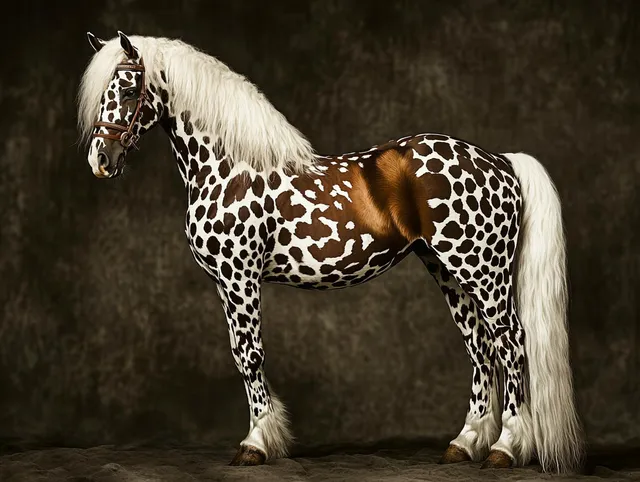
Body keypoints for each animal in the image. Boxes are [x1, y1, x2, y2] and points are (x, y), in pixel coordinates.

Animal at [77, 31, 584, 473]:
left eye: (128, 89)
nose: (100, 161)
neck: (233, 167)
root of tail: (499, 161)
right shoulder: (225, 284)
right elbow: (241, 354)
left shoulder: (240, 279)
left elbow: (251, 355)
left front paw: (256, 443)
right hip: (447, 270)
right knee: (479, 348)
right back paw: (465, 443)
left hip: (482, 268)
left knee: (511, 344)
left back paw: (506, 447)